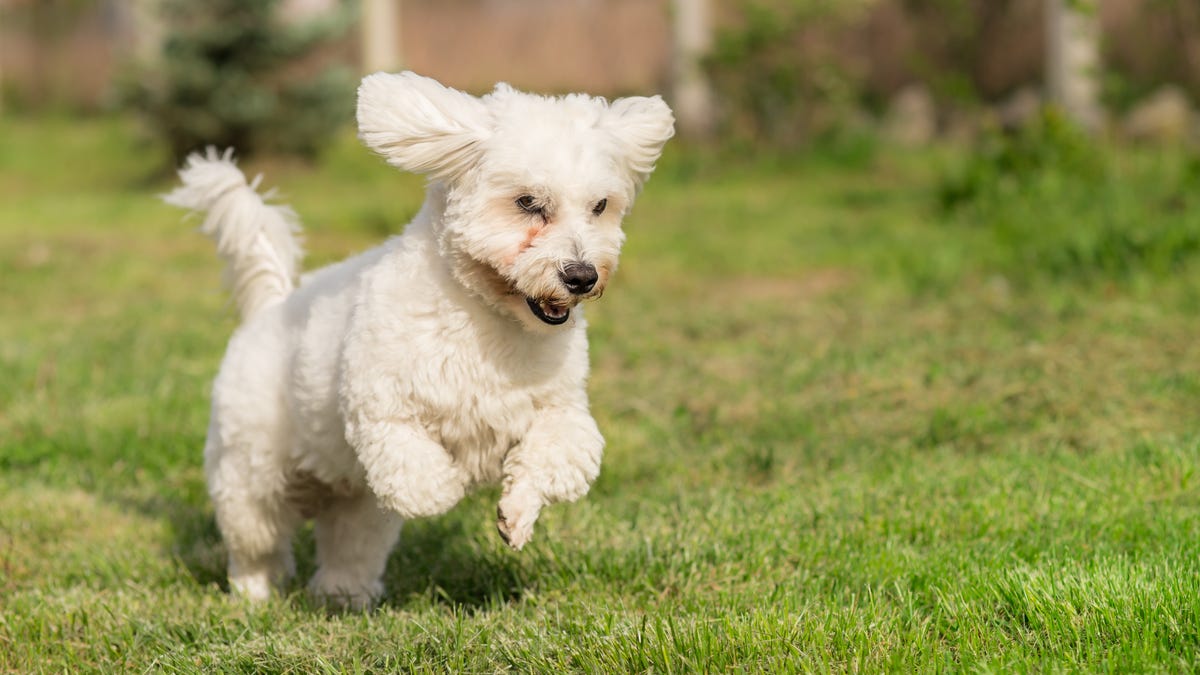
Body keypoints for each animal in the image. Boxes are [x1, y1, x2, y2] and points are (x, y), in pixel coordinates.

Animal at [166, 72, 676, 605]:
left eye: (599, 207)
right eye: (527, 203)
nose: (581, 275)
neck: (488, 319)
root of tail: (273, 304)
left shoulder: (562, 412)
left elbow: (557, 457)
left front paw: (514, 515)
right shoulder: (383, 411)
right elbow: (421, 478)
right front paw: (452, 487)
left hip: (354, 503)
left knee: (349, 544)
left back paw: (345, 594)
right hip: (251, 472)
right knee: (257, 538)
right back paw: (255, 593)